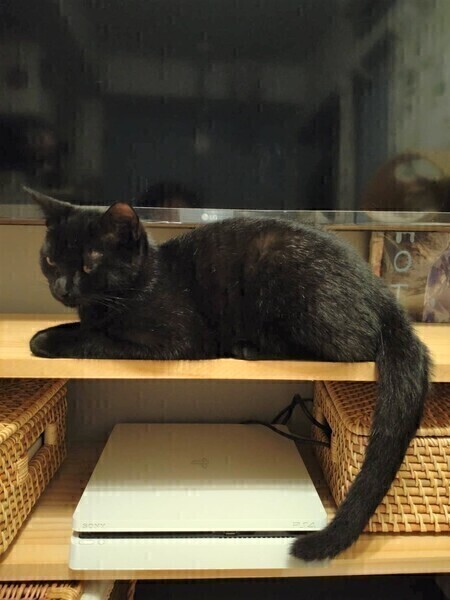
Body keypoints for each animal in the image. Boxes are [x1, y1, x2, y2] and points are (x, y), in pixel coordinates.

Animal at [25, 187, 430, 562]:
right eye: (50, 259)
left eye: (88, 266)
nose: (62, 287)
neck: (143, 281)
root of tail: (378, 288)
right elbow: (88, 328)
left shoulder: (171, 339)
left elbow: (97, 338)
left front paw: (44, 339)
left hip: (287, 279)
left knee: (351, 346)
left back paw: (248, 347)